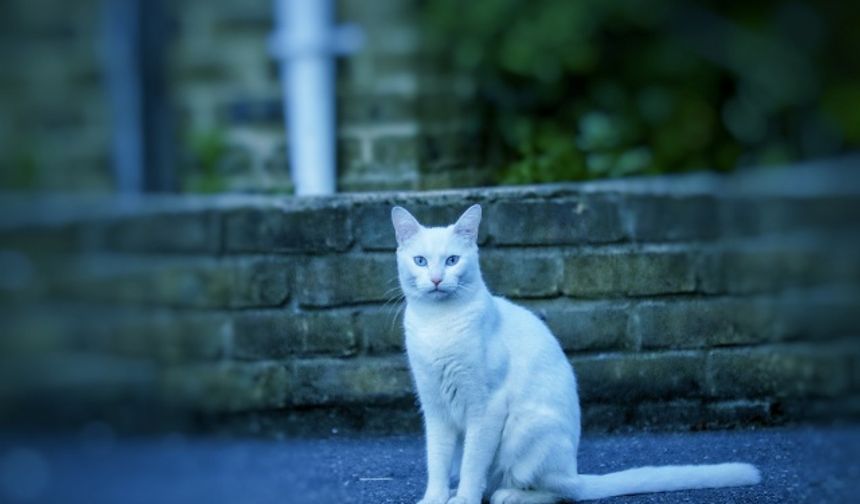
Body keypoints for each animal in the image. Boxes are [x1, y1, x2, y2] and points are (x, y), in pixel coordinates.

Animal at [390, 205, 760, 504]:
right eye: (420, 261)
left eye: (452, 260)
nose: (436, 279)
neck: (439, 326)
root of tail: (573, 471)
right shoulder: (435, 408)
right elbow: (437, 461)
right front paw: (436, 498)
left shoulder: (486, 407)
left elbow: (471, 463)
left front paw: (464, 498)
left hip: (527, 429)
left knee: (555, 492)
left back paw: (507, 495)